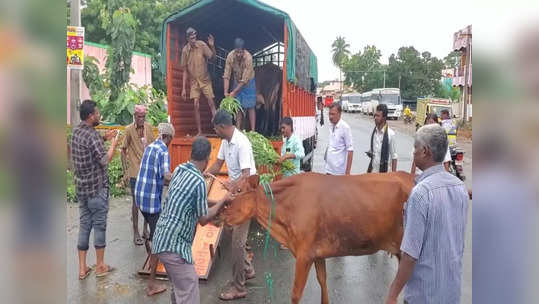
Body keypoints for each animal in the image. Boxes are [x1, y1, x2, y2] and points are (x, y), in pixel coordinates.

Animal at [221, 171, 416, 304]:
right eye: (229, 188)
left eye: (239, 190)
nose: (218, 213)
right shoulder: (317, 254)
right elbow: (322, 283)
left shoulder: (304, 256)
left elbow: (296, 294)